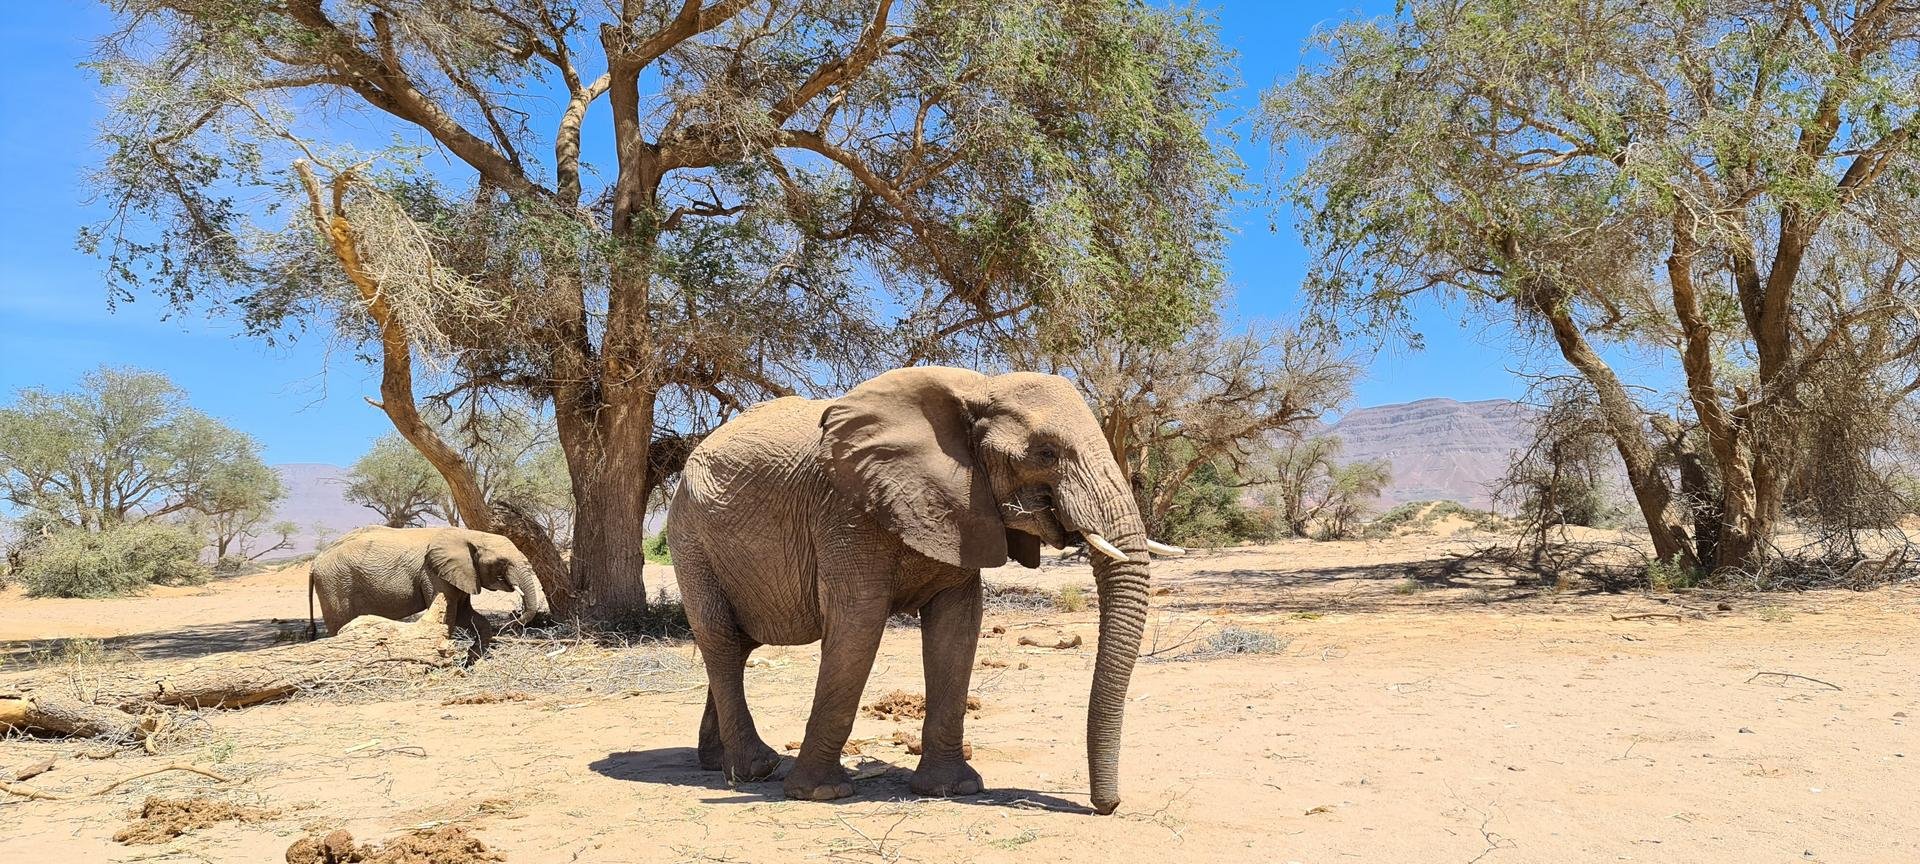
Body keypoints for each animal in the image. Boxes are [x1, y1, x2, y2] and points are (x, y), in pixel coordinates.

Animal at [305, 522, 549, 656]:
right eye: (502, 562)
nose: (513, 620)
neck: (468, 534)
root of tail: (314, 563)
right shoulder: (433, 574)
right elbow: (449, 617)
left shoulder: (460, 573)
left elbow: (467, 616)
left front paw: (471, 660)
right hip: (335, 584)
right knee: (338, 624)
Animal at [668, 368, 1175, 814]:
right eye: (1047, 454)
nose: (1107, 805)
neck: (978, 389)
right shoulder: (847, 510)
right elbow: (858, 623)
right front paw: (821, 794)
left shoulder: (964, 511)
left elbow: (957, 626)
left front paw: (953, 789)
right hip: (689, 538)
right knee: (719, 638)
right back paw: (755, 770)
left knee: (739, 646)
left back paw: (725, 765)